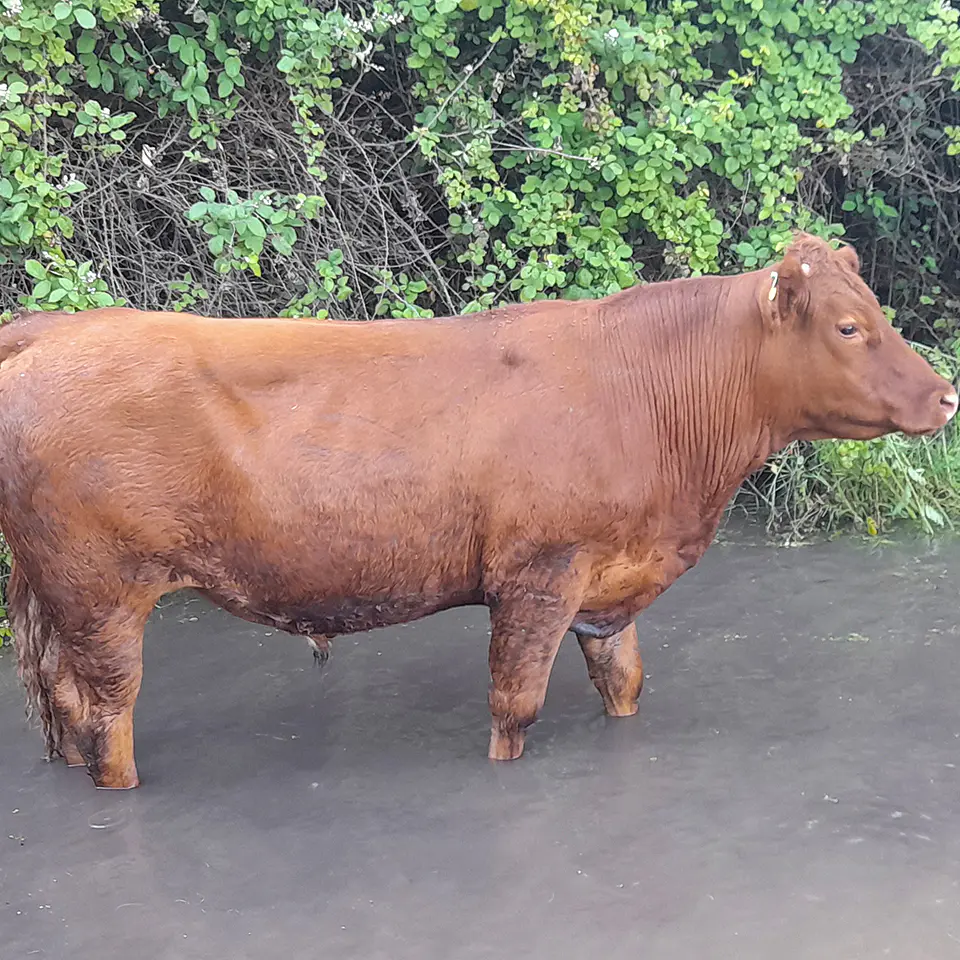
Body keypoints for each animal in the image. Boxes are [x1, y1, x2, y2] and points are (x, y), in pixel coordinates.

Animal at [0, 233, 955, 790]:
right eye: (847, 328)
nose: (946, 394)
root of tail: (55, 327)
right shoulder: (539, 571)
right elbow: (515, 705)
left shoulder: (610, 585)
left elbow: (625, 683)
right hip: (101, 591)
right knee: (106, 718)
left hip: (55, 597)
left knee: (62, 706)